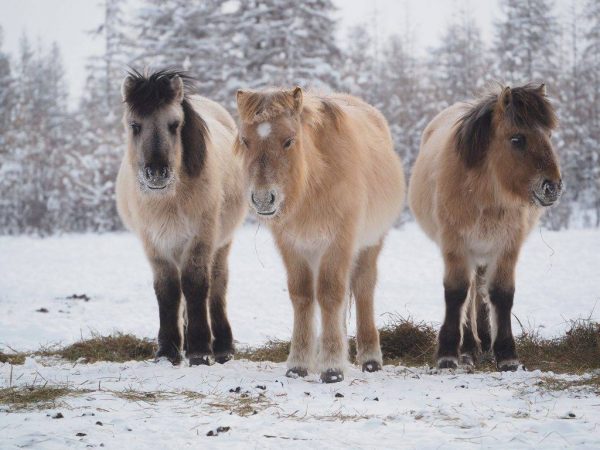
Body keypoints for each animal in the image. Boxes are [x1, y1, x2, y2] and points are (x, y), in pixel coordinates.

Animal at [116, 69, 247, 366]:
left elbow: (196, 286)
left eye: (175, 125)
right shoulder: (155, 244)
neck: (169, 200)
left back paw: (222, 345)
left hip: (221, 243)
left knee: (217, 285)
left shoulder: (201, 238)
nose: (156, 173)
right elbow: (168, 291)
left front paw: (200, 350)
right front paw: (168, 351)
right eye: (135, 125)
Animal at [234, 88, 404, 384]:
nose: (263, 199)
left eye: (289, 141)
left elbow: (330, 294)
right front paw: (299, 364)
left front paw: (333, 367)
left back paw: (370, 359)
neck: (314, 183)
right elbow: (302, 295)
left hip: (369, 245)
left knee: (363, 288)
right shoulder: (292, 246)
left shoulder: (339, 242)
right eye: (245, 140)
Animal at [408, 82, 564, 370]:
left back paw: (483, 344)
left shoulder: (507, 246)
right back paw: (469, 348)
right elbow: (457, 293)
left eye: (548, 134)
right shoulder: (455, 245)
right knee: (470, 294)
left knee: (480, 293)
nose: (553, 187)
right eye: (517, 139)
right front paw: (448, 354)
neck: (482, 193)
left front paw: (506, 355)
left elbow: (501, 294)